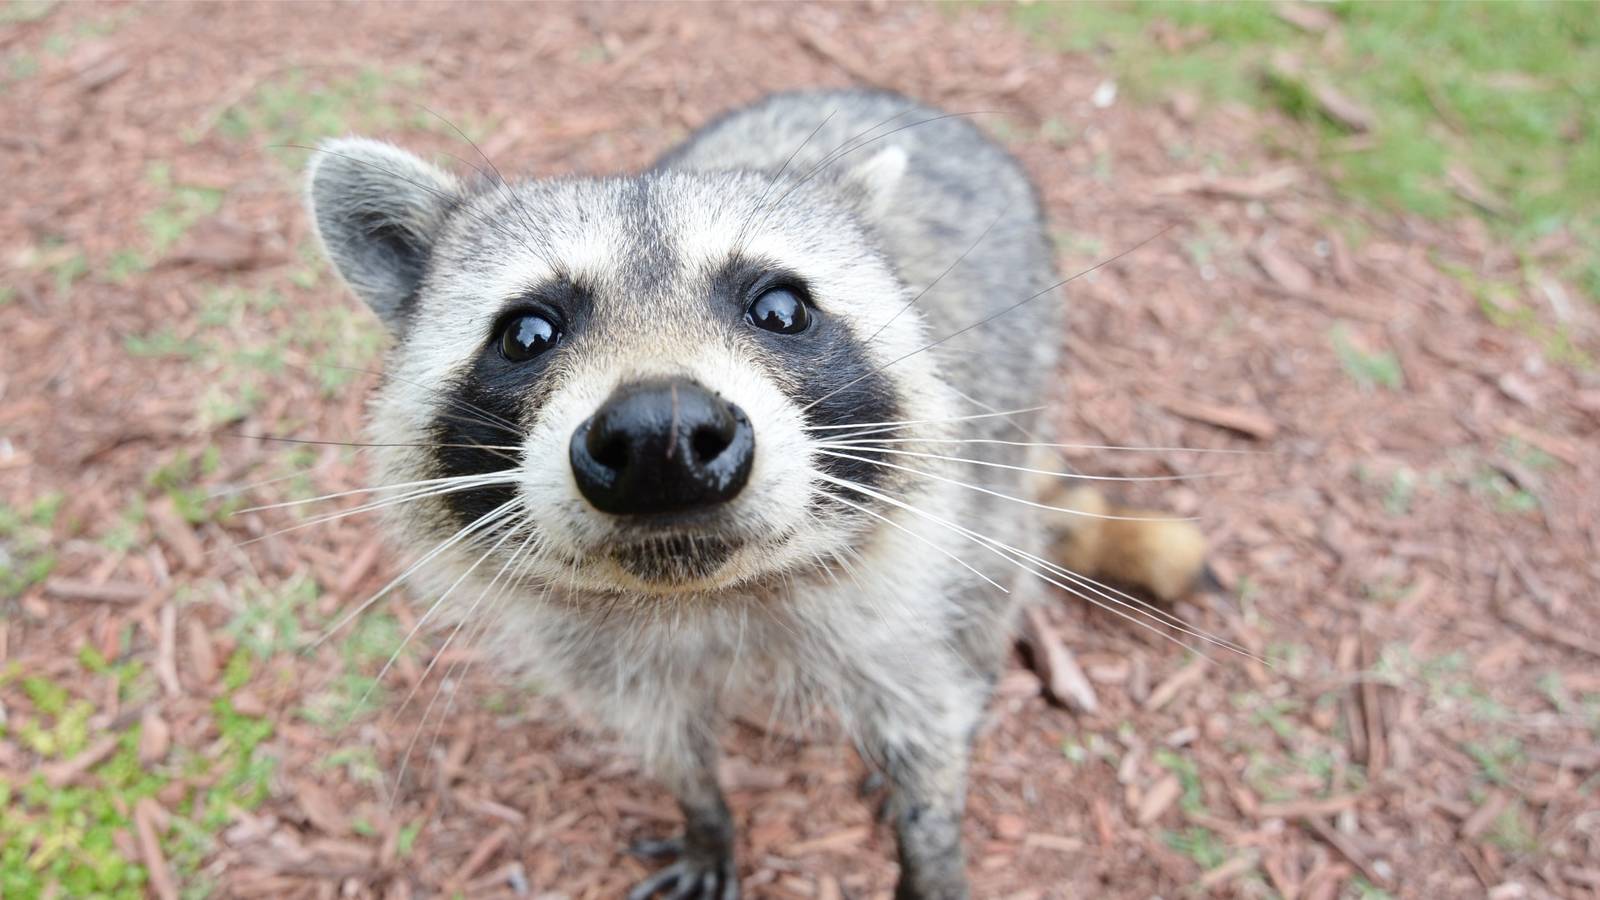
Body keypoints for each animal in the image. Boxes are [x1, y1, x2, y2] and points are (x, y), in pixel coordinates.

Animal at [305, 89, 1203, 899]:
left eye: (780, 308)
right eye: (527, 334)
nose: (659, 438)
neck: (706, 594)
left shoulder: (912, 574)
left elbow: (926, 716)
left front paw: (931, 841)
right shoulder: (597, 652)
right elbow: (664, 735)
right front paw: (706, 814)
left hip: (1013, 418)